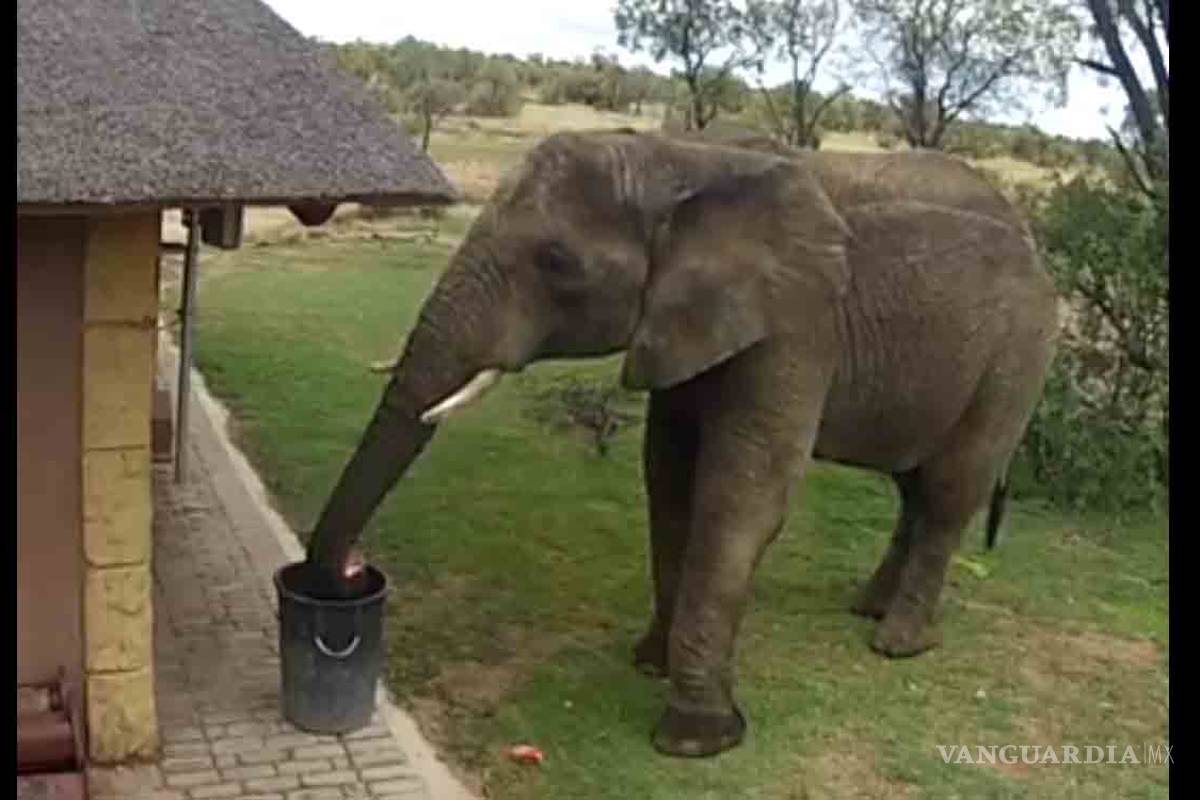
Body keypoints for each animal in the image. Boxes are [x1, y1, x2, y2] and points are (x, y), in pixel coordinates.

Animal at [304, 130, 1059, 758]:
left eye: (557, 261)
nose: (346, 586)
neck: (681, 159)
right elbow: (667, 479)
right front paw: (648, 663)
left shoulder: (794, 324)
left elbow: (741, 496)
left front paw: (697, 740)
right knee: (914, 486)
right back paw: (868, 609)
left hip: (1018, 357)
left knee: (949, 488)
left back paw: (897, 644)